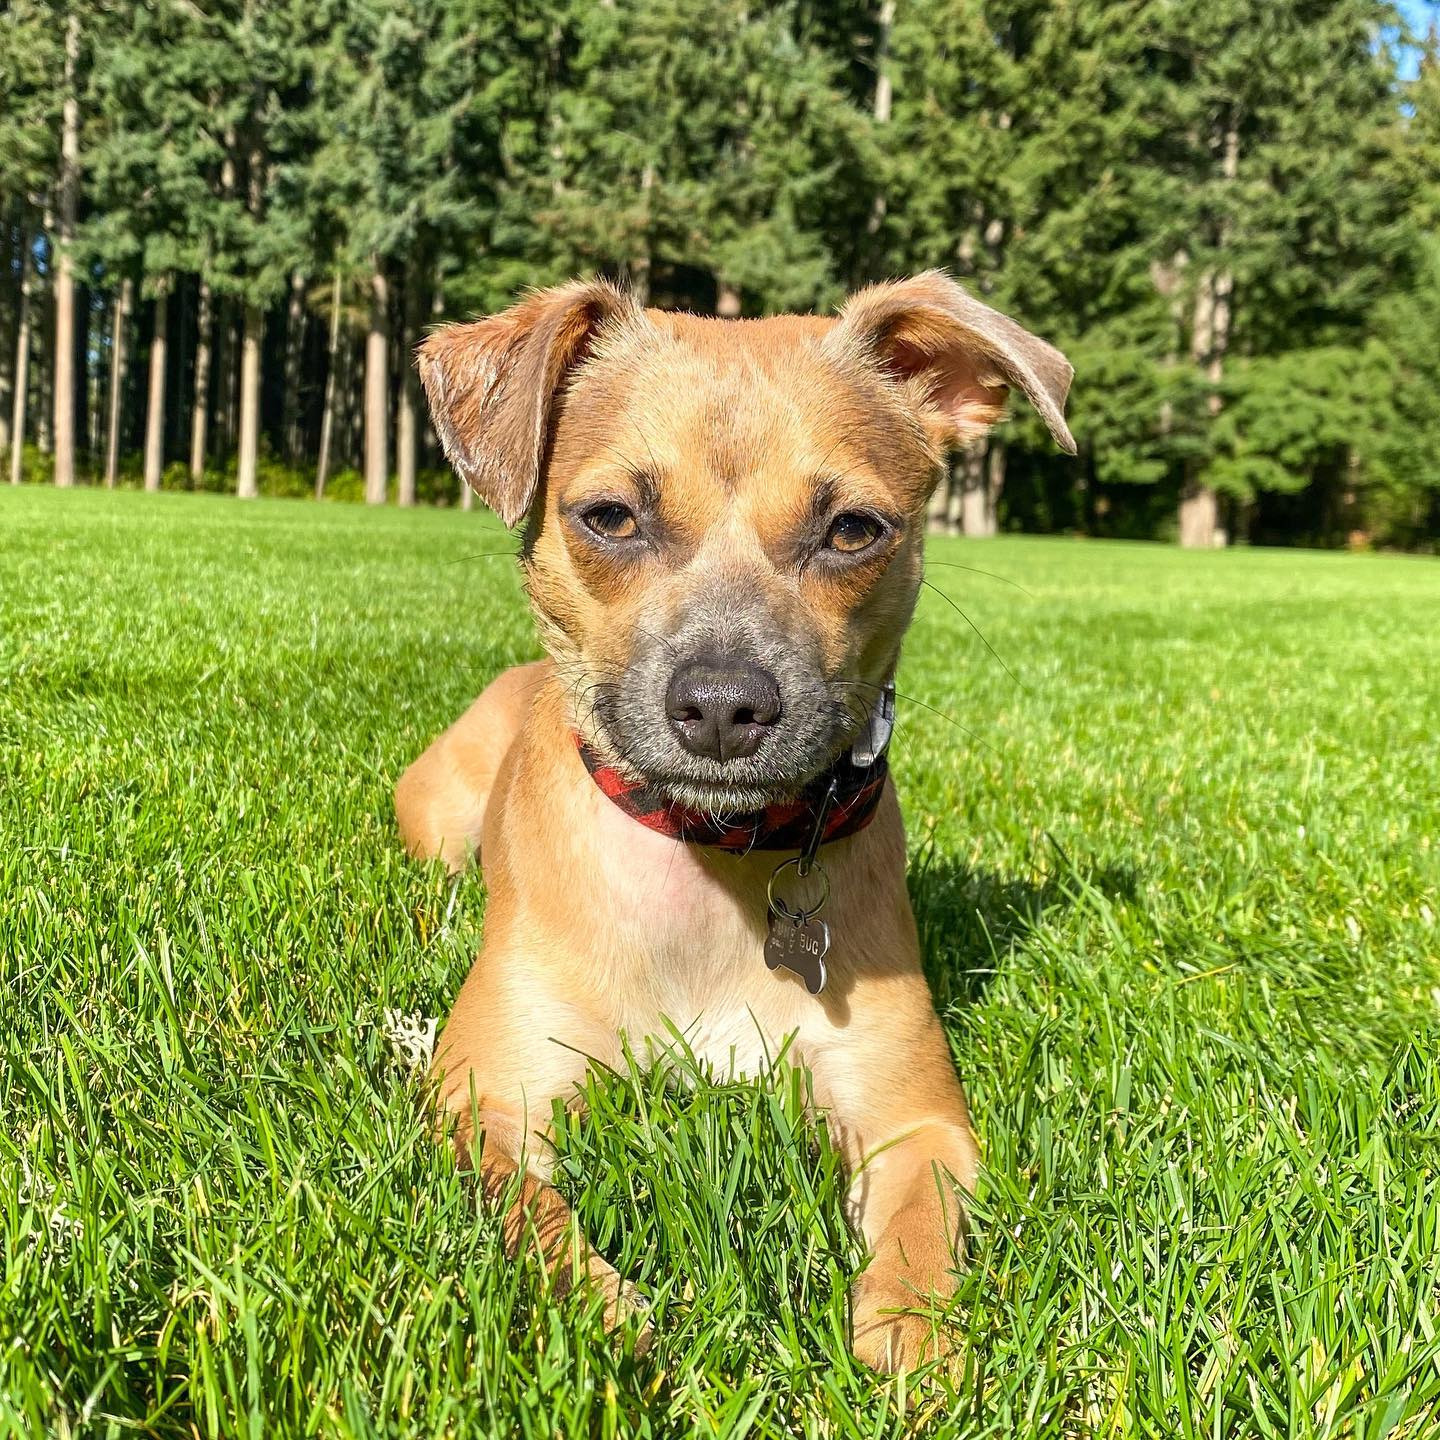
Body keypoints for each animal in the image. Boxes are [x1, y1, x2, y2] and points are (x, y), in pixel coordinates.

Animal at [394, 272, 1071, 1370]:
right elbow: (530, 1211)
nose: (721, 703)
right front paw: (607, 1315)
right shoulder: (487, 1096)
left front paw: (915, 1345)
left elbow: (918, 1231)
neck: (709, 861)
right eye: (610, 517)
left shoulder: (915, 1119)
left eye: (854, 530)